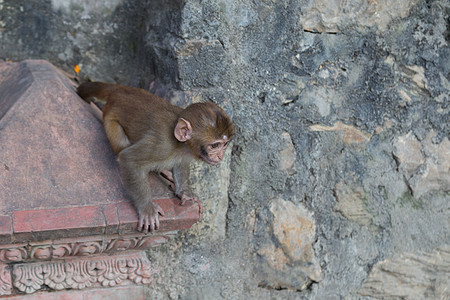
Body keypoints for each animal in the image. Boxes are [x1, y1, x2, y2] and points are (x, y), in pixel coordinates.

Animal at [76, 81, 236, 232]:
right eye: (215, 145)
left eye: (225, 144)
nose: (220, 156)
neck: (179, 143)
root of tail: (119, 90)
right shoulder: (161, 145)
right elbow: (129, 159)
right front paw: (146, 208)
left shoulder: (185, 151)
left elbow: (181, 164)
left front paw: (185, 193)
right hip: (110, 120)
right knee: (121, 145)